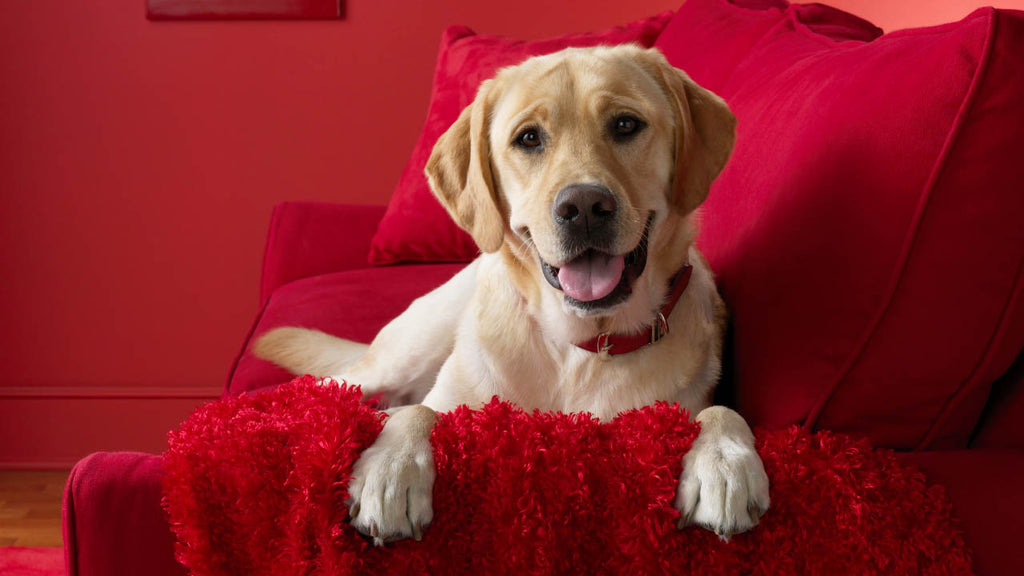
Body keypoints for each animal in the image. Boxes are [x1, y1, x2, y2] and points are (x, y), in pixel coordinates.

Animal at [256, 43, 770, 541]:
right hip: (402, 354)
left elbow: (721, 410)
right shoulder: (451, 397)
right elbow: (419, 413)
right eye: (529, 138)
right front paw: (391, 469)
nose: (584, 206)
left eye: (626, 125)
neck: (580, 346)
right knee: (333, 388)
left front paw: (725, 464)